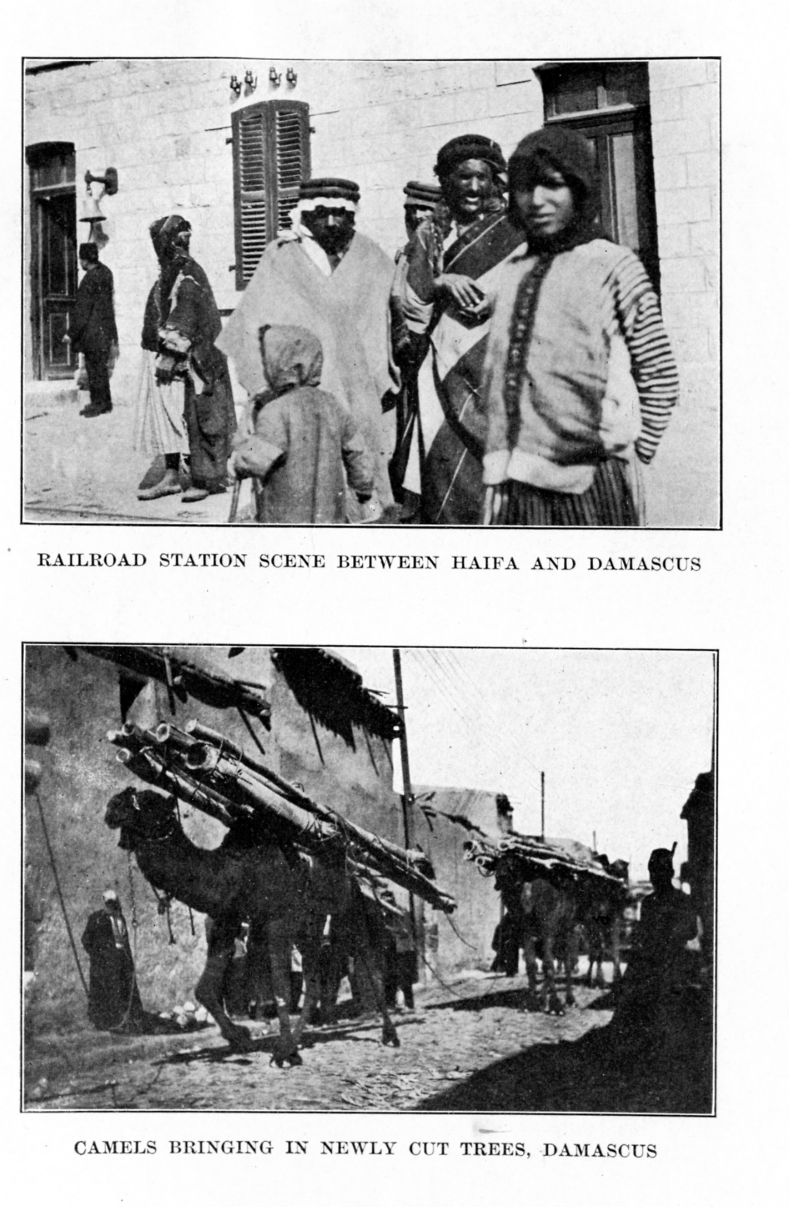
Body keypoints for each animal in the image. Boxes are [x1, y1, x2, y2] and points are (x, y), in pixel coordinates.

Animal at [104, 786, 402, 1062]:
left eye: (148, 801)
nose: (112, 805)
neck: (233, 873)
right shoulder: (227, 921)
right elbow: (206, 989)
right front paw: (241, 1038)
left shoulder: (278, 921)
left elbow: (281, 990)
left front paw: (282, 1053)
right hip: (312, 924)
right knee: (315, 982)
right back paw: (299, 1039)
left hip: (350, 907)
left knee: (368, 961)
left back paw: (389, 1034)